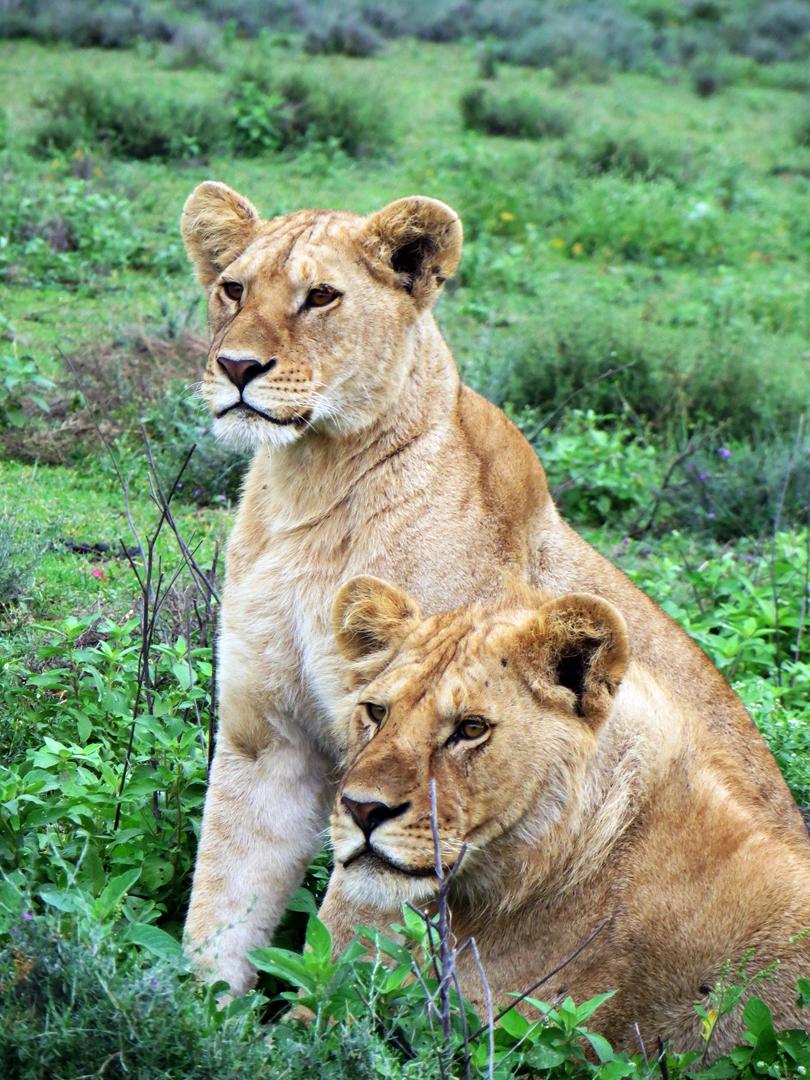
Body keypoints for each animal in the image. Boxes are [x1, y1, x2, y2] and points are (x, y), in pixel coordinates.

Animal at [179, 181, 806, 996]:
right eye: (232, 289)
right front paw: (187, 1012)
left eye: (320, 297)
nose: (236, 367)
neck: (308, 484)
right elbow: (221, 898)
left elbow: (347, 933)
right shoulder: (268, 734)